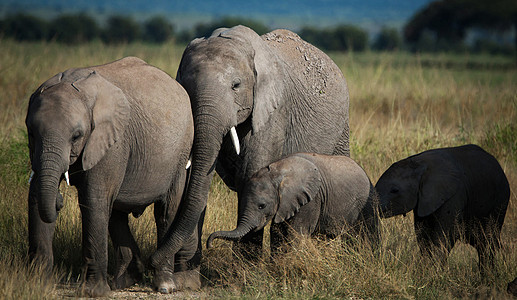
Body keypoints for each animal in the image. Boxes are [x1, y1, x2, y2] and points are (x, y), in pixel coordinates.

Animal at [25, 56, 197, 298]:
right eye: (31, 133)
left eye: (76, 136)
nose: (59, 200)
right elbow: (35, 196)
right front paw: (39, 285)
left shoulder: (111, 143)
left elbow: (93, 201)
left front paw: (92, 292)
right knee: (117, 213)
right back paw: (125, 281)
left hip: (180, 152)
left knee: (165, 210)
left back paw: (164, 285)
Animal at [151, 24, 348, 264]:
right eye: (185, 86)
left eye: (236, 85)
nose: (152, 260)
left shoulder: (273, 111)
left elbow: (249, 175)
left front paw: (245, 268)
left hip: (342, 129)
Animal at [206, 152, 378, 253]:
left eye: (262, 206)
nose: (209, 245)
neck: (277, 172)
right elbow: (278, 234)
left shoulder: (310, 201)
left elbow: (296, 235)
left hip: (366, 204)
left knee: (364, 236)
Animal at [372, 144, 510, 270]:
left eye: (394, 190)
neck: (419, 164)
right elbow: (423, 236)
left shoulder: (454, 195)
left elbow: (444, 236)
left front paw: (434, 274)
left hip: (500, 201)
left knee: (488, 241)